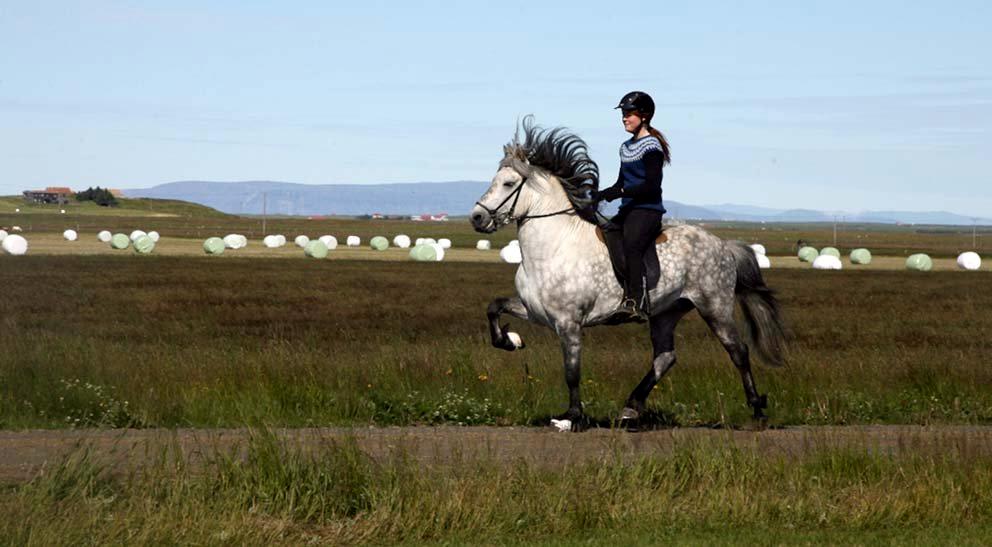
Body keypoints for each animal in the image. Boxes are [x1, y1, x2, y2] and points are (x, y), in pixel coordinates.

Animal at [468, 117, 788, 430]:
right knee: (665, 357)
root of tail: (723, 245)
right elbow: (494, 307)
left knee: (738, 351)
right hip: (666, 312)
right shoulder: (534, 311)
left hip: (714, 306)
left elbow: (572, 371)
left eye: (508, 183)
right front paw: (511, 340)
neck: (552, 248)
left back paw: (757, 411)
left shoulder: (569, 322)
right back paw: (630, 409)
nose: (477, 217)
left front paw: (572, 417)